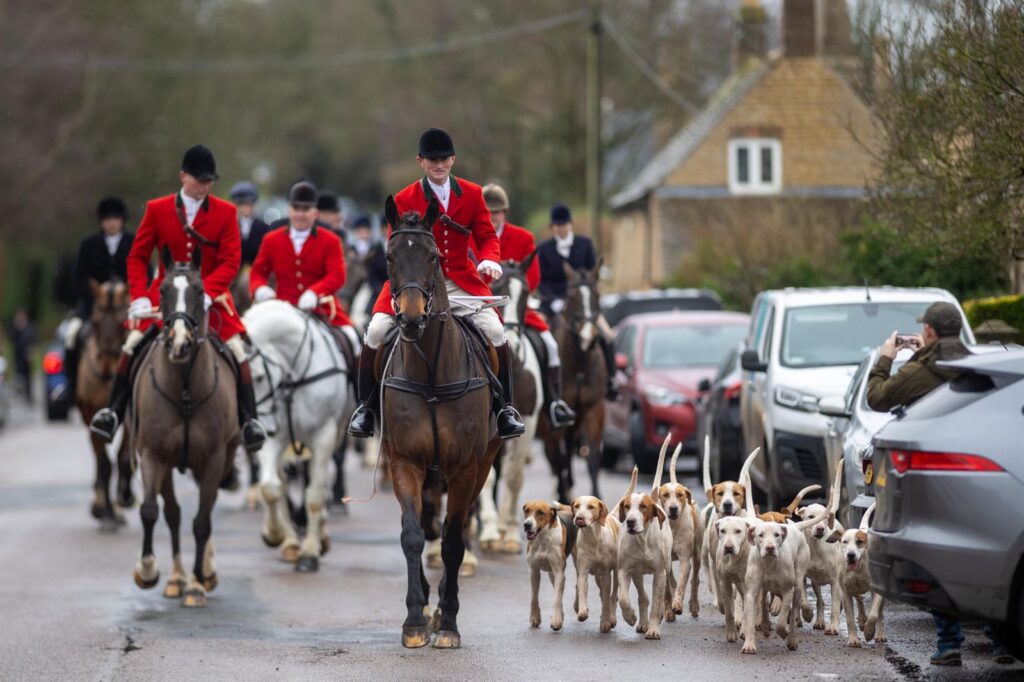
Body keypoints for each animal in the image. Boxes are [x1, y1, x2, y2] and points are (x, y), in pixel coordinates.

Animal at [126, 245, 238, 606]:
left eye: (200, 291)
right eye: (162, 291)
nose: (179, 343)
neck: (185, 387)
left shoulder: (214, 459)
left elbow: (202, 522)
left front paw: (198, 583)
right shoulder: (152, 454)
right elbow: (151, 510)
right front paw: (147, 570)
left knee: (206, 510)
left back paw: (203, 572)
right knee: (173, 512)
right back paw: (176, 577)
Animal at [380, 192, 499, 647]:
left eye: (433, 257)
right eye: (390, 256)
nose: (412, 319)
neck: (430, 371)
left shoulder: (466, 467)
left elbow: (452, 542)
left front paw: (448, 622)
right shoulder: (404, 461)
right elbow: (413, 535)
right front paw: (415, 618)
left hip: (484, 463)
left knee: (457, 530)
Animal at [536, 260, 606, 499]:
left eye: (596, 294)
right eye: (573, 297)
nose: (588, 336)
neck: (578, 366)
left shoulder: (594, 409)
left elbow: (592, 457)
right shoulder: (553, 420)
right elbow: (558, 459)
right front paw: (562, 493)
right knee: (555, 456)